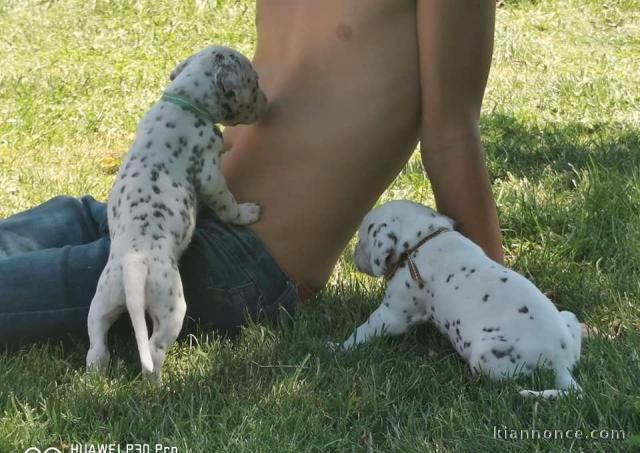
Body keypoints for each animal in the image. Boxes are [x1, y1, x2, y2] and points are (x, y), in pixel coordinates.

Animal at [85, 45, 268, 382]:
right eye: (255, 81)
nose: (268, 102)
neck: (184, 101)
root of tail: (133, 266)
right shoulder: (210, 173)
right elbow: (227, 202)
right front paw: (248, 213)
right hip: (171, 307)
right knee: (153, 350)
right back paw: (158, 383)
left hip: (102, 301)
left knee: (97, 346)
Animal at [338, 200, 584, 398]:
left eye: (362, 239)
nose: (354, 255)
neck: (423, 240)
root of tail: (560, 362)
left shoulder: (393, 314)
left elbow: (363, 330)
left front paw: (338, 348)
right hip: (569, 317)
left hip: (485, 355)